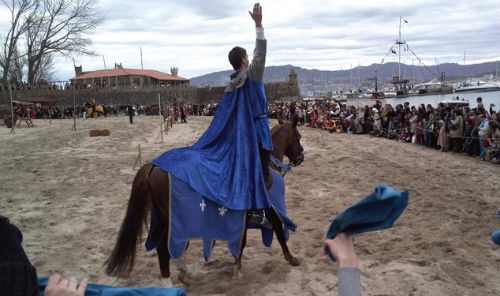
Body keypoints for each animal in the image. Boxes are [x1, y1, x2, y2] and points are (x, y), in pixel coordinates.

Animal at [103, 115, 302, 284]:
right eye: (298, 136)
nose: (301, 156)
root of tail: (153, 165)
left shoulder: (243, 216)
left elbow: (240, 239)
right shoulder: (267, 207)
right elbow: (276, 229)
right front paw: (289, 258)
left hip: (160, 216)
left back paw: (184, 272)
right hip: (171, 218)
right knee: (163, 246)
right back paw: (169, 280)